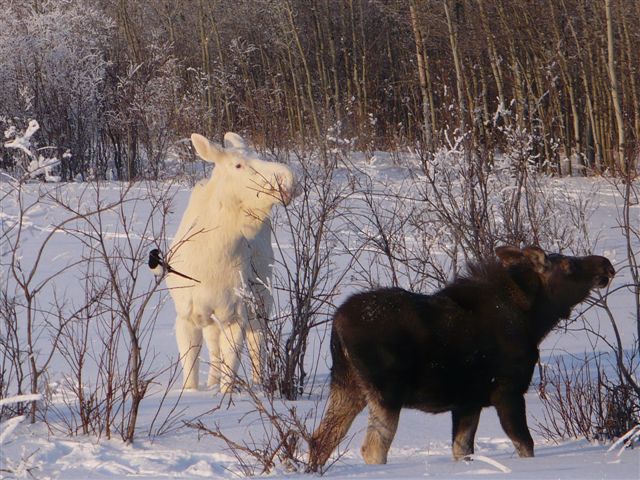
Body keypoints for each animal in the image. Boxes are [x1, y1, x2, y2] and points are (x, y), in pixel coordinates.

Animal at [165, 132, 296, 394]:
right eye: (238, 165)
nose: (288, 179)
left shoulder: (236, 315)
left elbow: (231, 369)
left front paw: (226, 392)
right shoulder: (186, 315)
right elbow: (190, 371)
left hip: (262, 302)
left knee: (258, 345)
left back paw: (258, 383)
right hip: (213, 319)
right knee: (215, 350)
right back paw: (212, 382)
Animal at [308, 248, 616, 468]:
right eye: (568, 265)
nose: (606, 264)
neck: (535, 322)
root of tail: (337, 324)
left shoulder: (468, 402)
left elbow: (463, 450)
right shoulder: (507, 392)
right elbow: (525, 445)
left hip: (347, 386)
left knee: (320, 440)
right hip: (386, 393)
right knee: (372, 448)